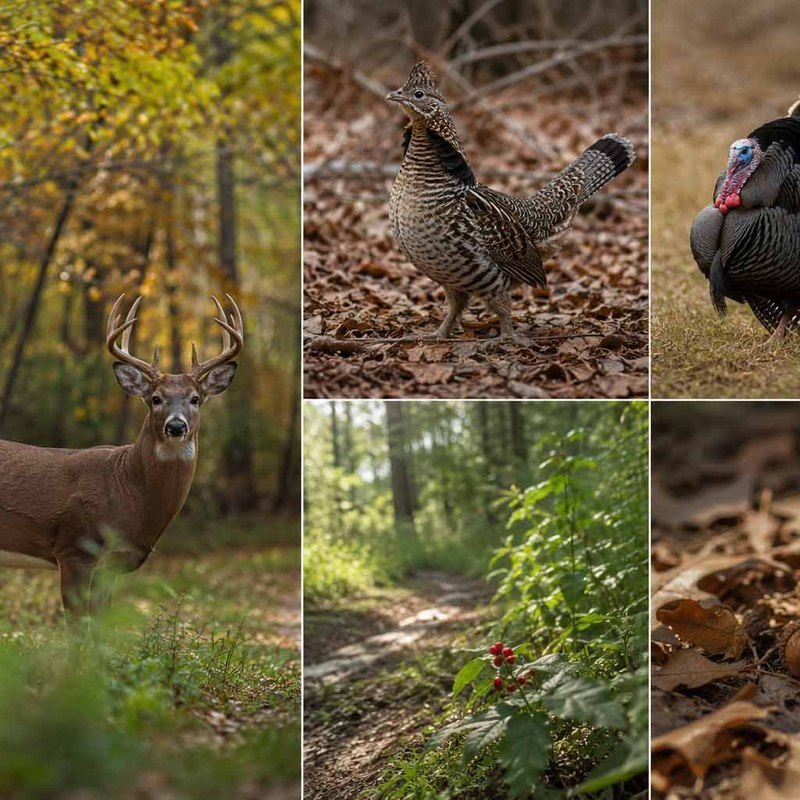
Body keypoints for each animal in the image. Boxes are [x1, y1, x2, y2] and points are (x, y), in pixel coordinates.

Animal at [0, 294, 243, 633]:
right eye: (155, 398)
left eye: (195, 398)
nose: (176, 426)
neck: (127, 489)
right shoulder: (75, 548)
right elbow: (78, 629)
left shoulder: (112, 564)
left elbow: (101, 625)